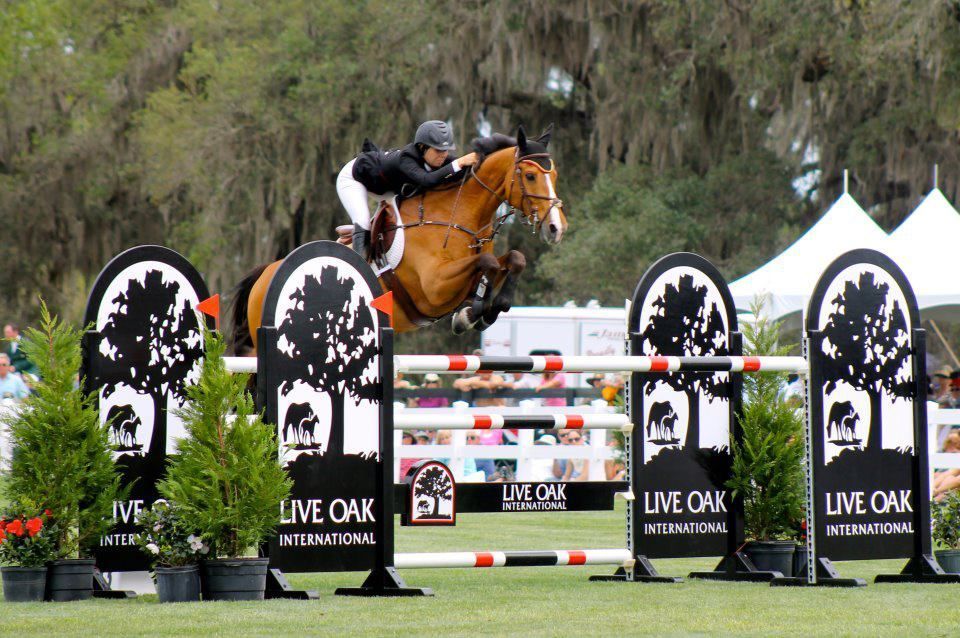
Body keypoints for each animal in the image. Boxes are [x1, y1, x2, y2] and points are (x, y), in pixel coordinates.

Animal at [230, 125, 566, 354]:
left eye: (555, 175)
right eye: (531, 176)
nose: (556, 228)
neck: (458, 216)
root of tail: (267, 274)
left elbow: (512, 260)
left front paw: (483, 310)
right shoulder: (435, 287)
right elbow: (486, 263)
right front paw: (473, 313)